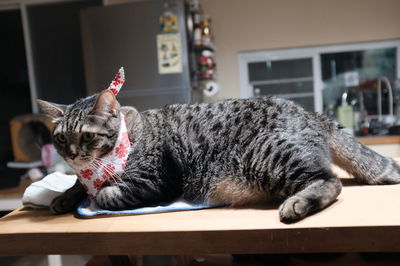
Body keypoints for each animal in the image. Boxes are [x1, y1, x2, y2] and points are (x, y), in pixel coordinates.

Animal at [36, 89, 400, 222]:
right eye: (61, 138)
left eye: (87, 136)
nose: (72, 155)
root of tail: (310, 113)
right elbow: (78, 187)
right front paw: (64, 196)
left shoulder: (154, 182)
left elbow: (108, 193)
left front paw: (97, 193)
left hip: (268, 155)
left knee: (329, 181)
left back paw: (297, 203)